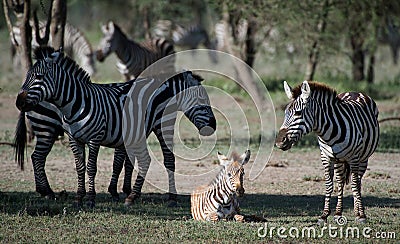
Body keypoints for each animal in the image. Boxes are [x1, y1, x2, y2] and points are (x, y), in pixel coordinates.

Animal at [14, 46, 216, 208]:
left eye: (38, 77)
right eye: (203, 99)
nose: (19, 101)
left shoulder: (114, 134)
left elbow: (112, 163)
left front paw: (100, 195)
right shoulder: (83, 138)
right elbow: (91, 166)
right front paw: (93, 196)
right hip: (46, 127)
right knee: (37, 157)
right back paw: (47, 191)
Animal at [276, 80, 380, 223]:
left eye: (298, 113)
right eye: (286, 112)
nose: (279, 142)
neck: (328, 133)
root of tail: (355, 92)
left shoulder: (354, 158)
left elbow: (354, 185)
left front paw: (361, 215)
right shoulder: (325, 157)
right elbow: (329, 184)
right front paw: (324, 215)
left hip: (363, 158)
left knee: (358, 182)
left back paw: (358, 211)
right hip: (339, 160)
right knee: (340, 182)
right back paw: (338, 213)